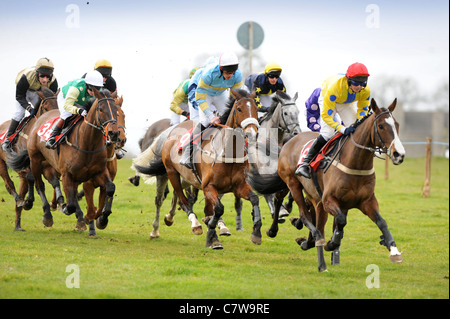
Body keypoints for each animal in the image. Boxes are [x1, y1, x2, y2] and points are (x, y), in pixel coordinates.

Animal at [0, 87, 59, 231]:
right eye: (45, 107)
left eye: (58, 105)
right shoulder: (28, 163)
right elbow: (32, 179)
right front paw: (29, 201)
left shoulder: (46, 166)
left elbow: (53, 181)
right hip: (1, 163)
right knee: (9, 183)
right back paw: (19, 199)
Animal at [8, 87, 121, 232]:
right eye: (101, 109)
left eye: (116, 110)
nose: (114, 133)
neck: (87, 143)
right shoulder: (67, 174)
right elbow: (71, 203)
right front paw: (66, 208)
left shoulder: (99, 172)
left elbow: (110, 188)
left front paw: (102, 219)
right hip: (35, 160)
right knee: (39, 185)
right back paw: (46, 214)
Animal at [134, 88, 260, 250]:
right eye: (239, 109)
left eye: (256, 109)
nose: (252, 133)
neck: (227, 153)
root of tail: (170, 131)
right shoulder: (208, 186)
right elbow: (217, 209)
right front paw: (213, 235)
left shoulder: (239, 186)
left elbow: (254, 199)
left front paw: (256, 233)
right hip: (170, 173)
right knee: (173, 200)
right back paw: (172, 228)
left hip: (187, 178)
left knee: (179, 197)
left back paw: (170, 218)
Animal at [264, 99, 404, 272]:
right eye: (381, 126)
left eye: (396, 125)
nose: (399, 154)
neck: (355, 163)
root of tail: (292, 139)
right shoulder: (328, 200)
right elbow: (341, 221)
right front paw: (331, 243)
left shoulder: (367, 202)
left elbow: (382, 222)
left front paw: (394, 250)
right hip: (291, 183)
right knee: (292, 207)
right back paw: (275, 230)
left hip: (311, 192)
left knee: (310, 213)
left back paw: (306, 239)